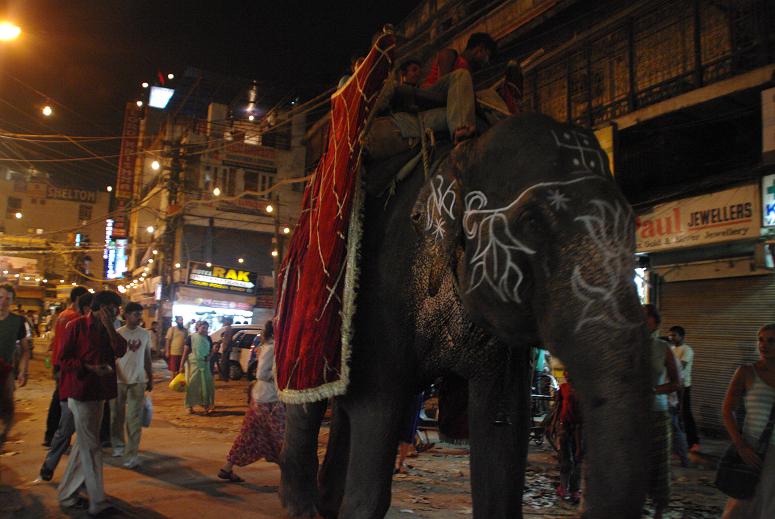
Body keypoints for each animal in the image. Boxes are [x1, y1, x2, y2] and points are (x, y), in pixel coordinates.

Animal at [279, 112, 652, 519]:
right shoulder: (384, 285)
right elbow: (378, 402)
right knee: (310, 402)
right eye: (531, 223)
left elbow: (502, 426)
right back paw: (301, 509)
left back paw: (326, 503)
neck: (462, 154)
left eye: (630, 226)